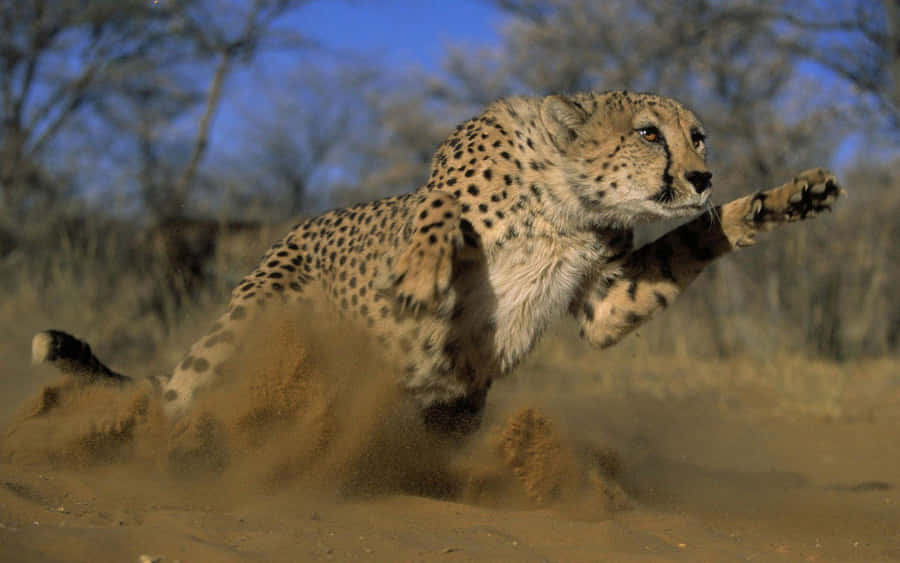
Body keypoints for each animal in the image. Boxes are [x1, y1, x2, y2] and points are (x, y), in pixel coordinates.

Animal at [32, 90, 843, 436]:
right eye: (649, 133)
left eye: (698, 136)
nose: (702, 175)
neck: (567, 199)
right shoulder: (439, 188)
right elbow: (437, 212)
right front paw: (424, 273)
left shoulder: (605, 300)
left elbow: (696, 239)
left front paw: (785, 198)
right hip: (251, 321)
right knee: (180, 396)